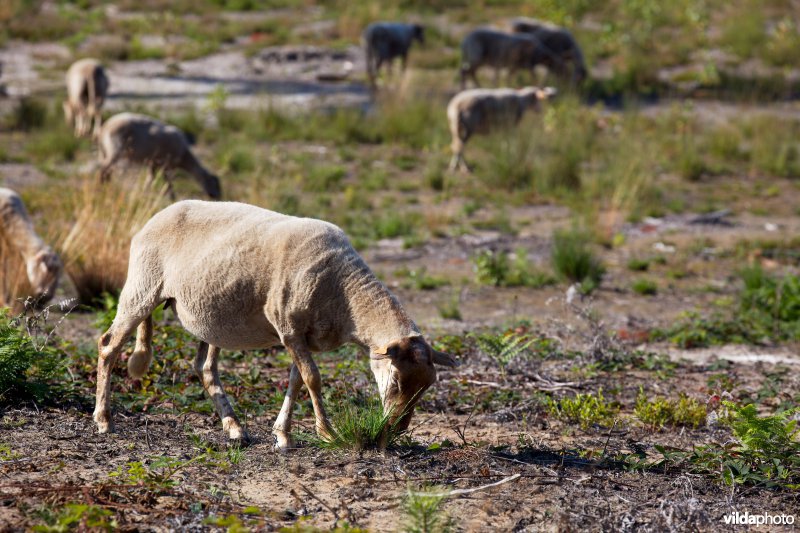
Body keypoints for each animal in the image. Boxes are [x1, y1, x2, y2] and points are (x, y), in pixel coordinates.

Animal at [93, 200, 456, 448]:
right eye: (394, 383)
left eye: (426, 388)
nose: (395, 430)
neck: (345, 293)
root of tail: (157, 216)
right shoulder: (288, 326)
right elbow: (313, 379)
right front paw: (327, 433)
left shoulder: (301, 337)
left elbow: (296, 381)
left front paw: (283, 435)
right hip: (142, 286)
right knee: (109, 345)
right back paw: (103, 420)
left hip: (208, 317)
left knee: (204, 368)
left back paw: (235, 428)